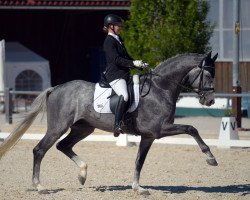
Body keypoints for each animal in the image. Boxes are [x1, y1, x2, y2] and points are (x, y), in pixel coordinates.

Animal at [0, 51, 218, 194]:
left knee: (63, 146)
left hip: (83, 128)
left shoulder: (148, 136)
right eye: (208, 75)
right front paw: (210, 158)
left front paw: (138, 187)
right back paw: (40, 186)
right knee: (40, 150)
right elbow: (191, 128)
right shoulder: (159, 130)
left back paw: (82, 174)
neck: (160, 88)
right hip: (58, 127)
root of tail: (56, 88)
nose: (210, 101)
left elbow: (139, 161)